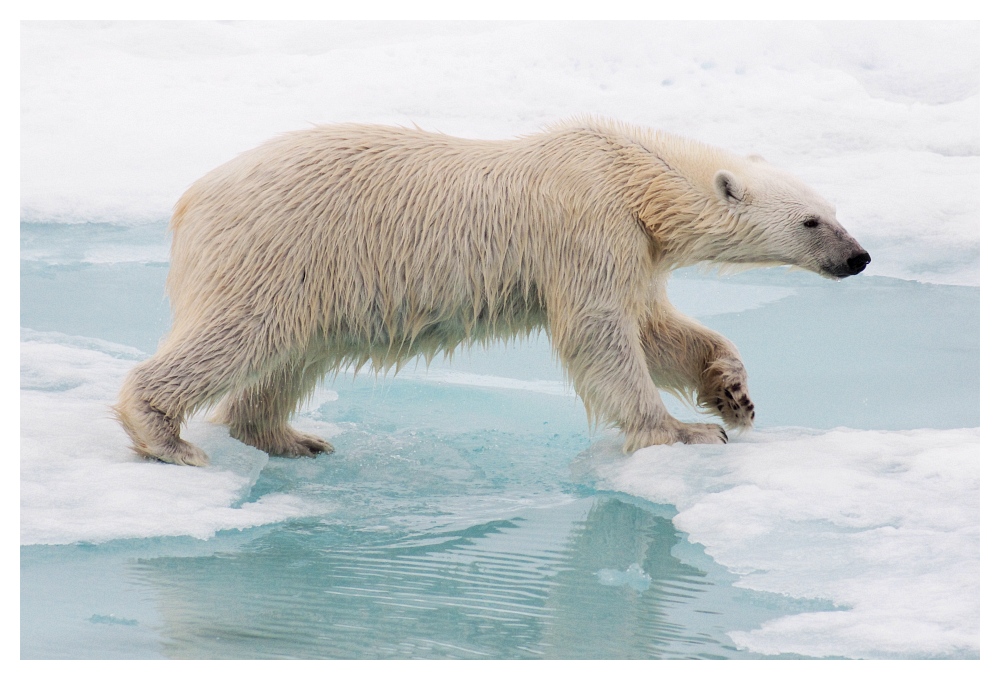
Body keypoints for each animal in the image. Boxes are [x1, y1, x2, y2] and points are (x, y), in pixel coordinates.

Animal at [115, 119, 868, 464]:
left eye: (836, 209)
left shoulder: (634, 245)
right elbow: (600, 331)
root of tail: (191, 199)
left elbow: (655, 328)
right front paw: (681, 431)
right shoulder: (587, 226)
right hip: (277, 250)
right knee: (239, 334)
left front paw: (733, 395)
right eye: (812, 221)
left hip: (315, 282)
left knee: (291, 357)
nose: (859, 258)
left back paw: (289, 438)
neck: (630, 172)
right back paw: (165, 435)